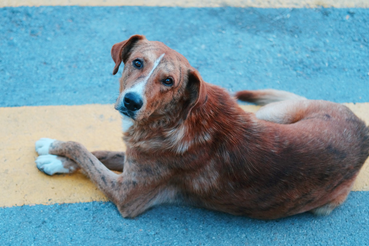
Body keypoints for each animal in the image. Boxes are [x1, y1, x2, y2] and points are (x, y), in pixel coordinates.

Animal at [34, 34, 368, 219]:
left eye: (168, 81)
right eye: (137, 62)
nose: (131, 101)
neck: (175, 119)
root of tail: (360, 123)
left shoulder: (127, 194)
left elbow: (84, 152)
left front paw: (53, 150)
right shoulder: (134, 158)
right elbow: (98, 152)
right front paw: (56, 155)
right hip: (269, 115)